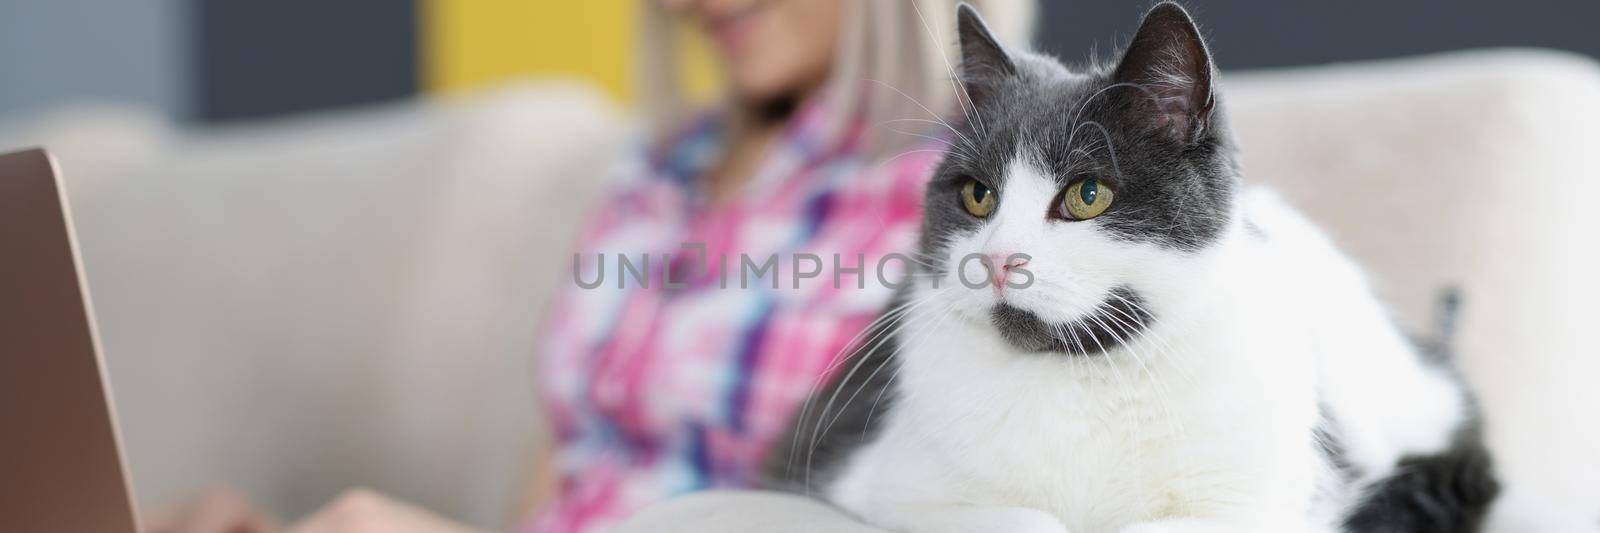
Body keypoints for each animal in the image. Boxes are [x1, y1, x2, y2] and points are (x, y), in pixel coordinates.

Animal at [768, 4, 1593, 531]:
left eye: (1088, 195)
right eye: (977, 196)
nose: (997, 260)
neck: (1082, 378)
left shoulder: (1256, 503)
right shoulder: (880, 478)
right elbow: (1023, 518)